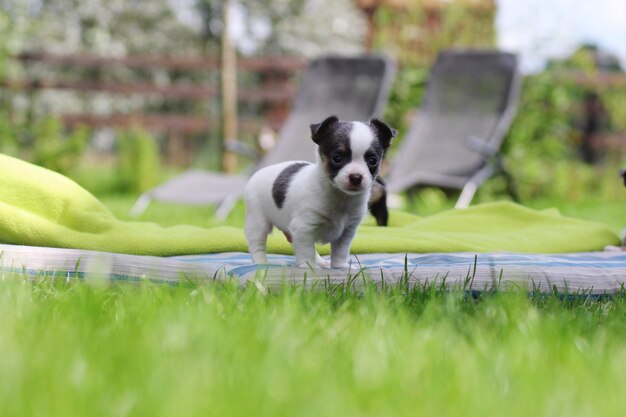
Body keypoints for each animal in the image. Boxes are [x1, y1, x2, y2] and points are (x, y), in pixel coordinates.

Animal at [244, 115, 394, 268]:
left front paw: (340, 266)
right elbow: (306, 251)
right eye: (337, 158)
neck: (340, 197)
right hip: (258, 222)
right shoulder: (304, 227)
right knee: (257, 245)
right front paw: (308, 268)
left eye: (373, 161)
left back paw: (320, 261)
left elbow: (340, 251)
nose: (356, 177)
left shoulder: (347, 231)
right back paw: (261, 264)